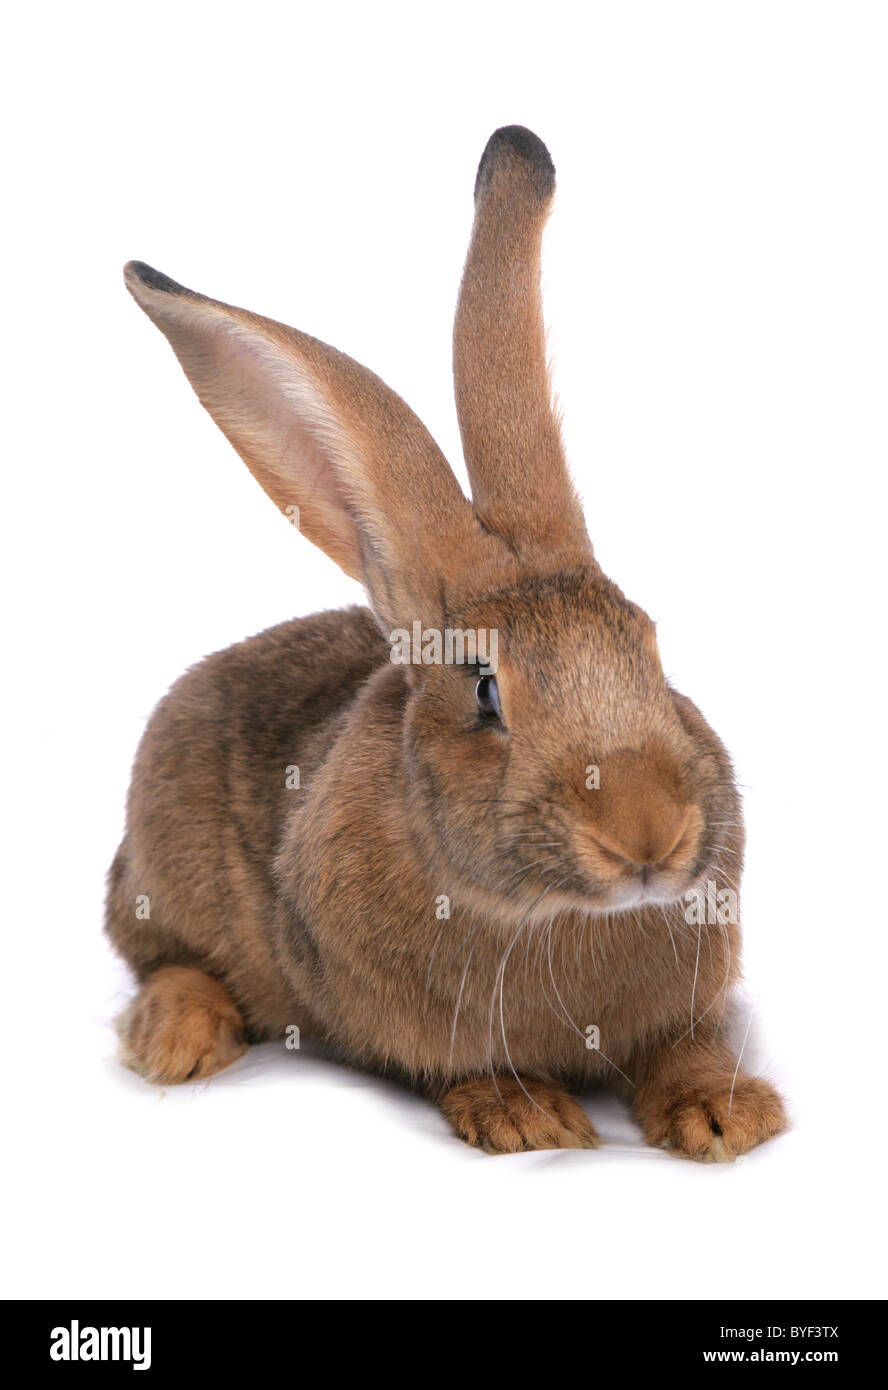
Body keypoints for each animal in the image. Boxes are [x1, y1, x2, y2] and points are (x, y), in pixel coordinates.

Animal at [105, 127, 783, 1162]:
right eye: (486, 692)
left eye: (652, 652)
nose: (648, 835)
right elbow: (460, 1065)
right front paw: (530, 1117)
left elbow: (690, 1045)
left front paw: (726, 1116)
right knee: (164, 961)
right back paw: (177, 1042)